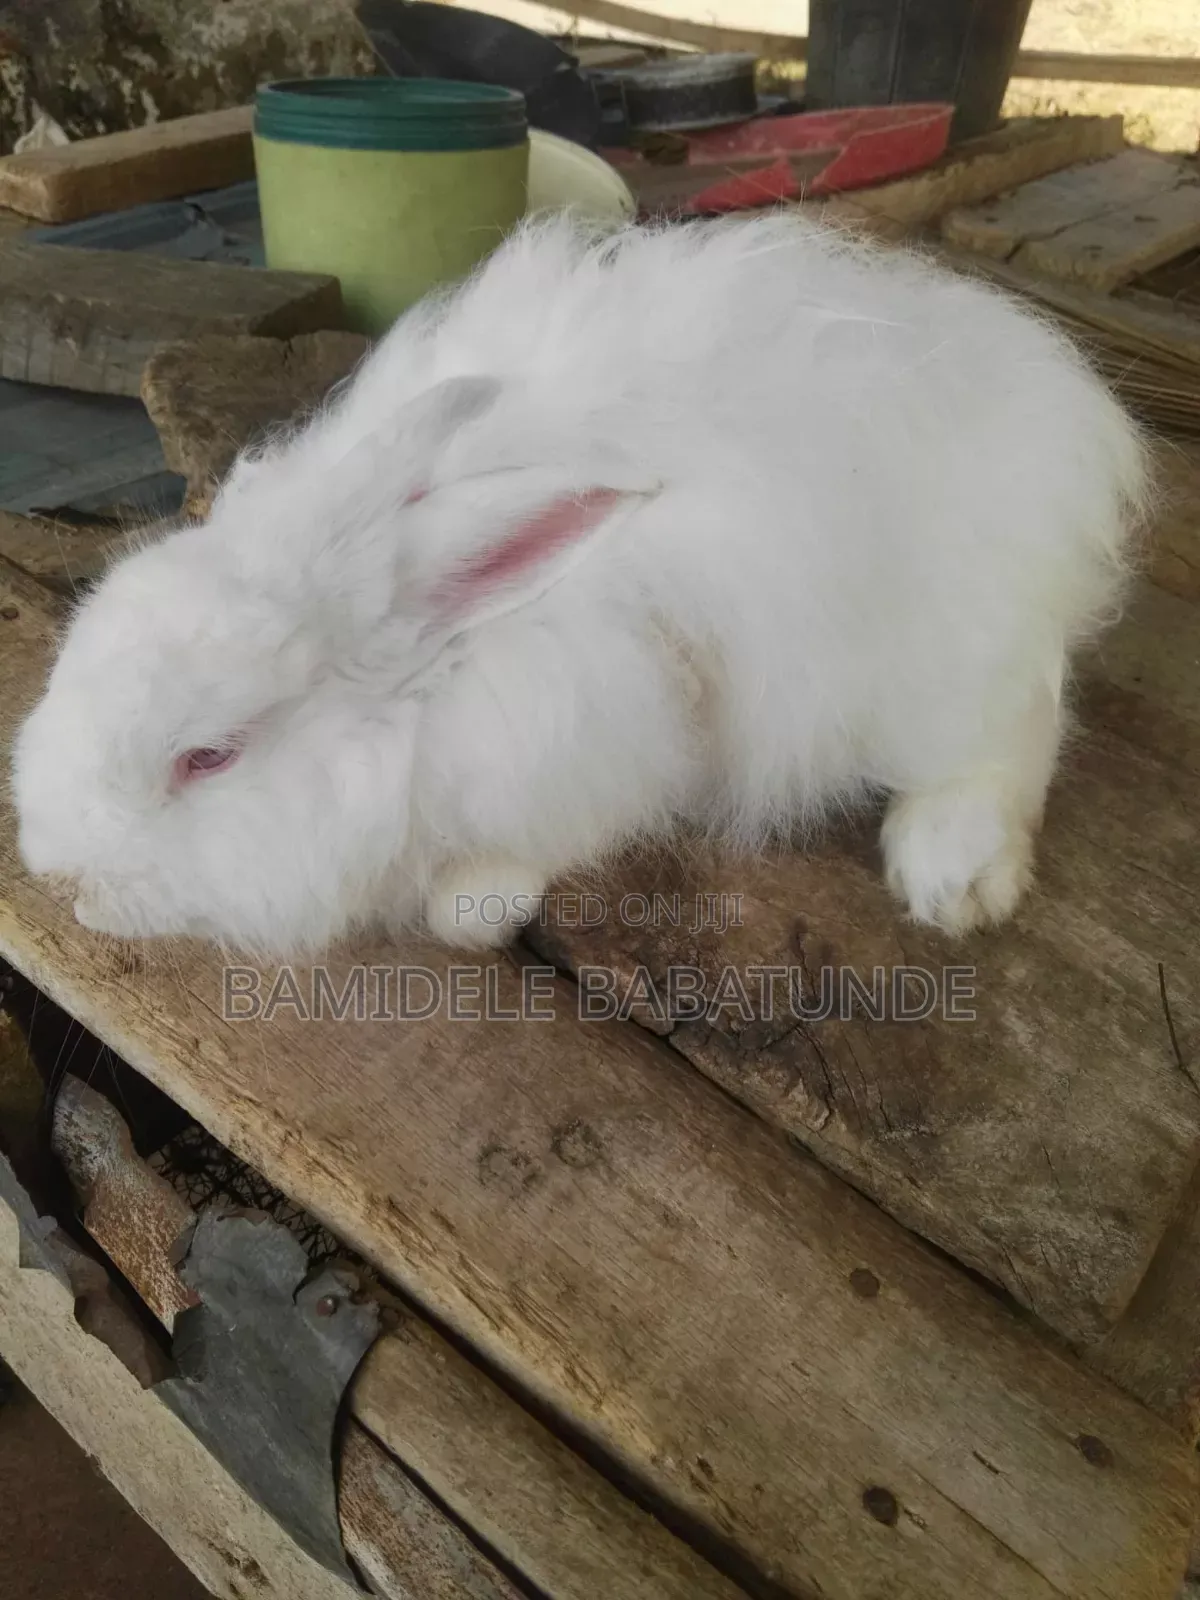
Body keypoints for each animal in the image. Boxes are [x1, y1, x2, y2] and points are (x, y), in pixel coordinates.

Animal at [12, 211, 1147, 959]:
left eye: (208, 758)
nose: (63, 879)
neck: (442, 678)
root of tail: (1071, 409)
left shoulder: (613, 727)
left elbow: (540, 849)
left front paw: (473, 905)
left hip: (952, 653)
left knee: (1018, 732)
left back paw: (952, 874)